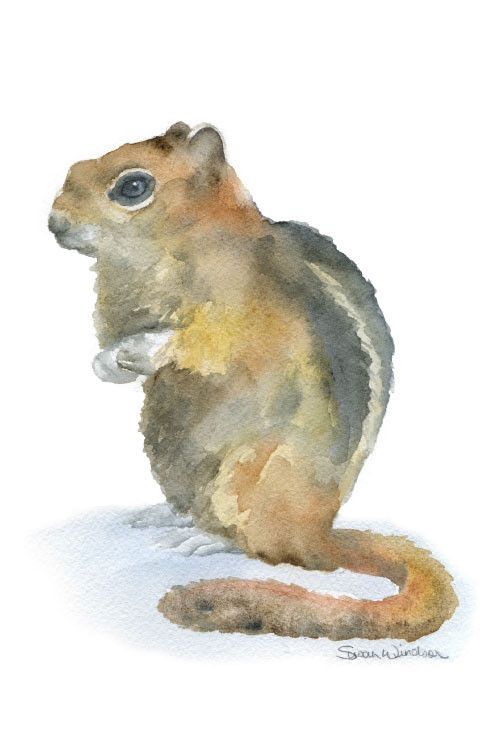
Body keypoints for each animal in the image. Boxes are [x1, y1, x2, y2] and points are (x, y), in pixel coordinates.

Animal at [48, 121, 458, 641]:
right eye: (74, 168)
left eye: (133, 187)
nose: (54, 223)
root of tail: (318, 534)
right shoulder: (115, 306)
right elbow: (111, 337)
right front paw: (106, 362)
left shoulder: (243, 314)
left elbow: (212, 344)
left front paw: (147, 348)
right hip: (168, 456)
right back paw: (167, 514)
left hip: (245, 480)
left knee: (259, 546)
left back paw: (203, 539)